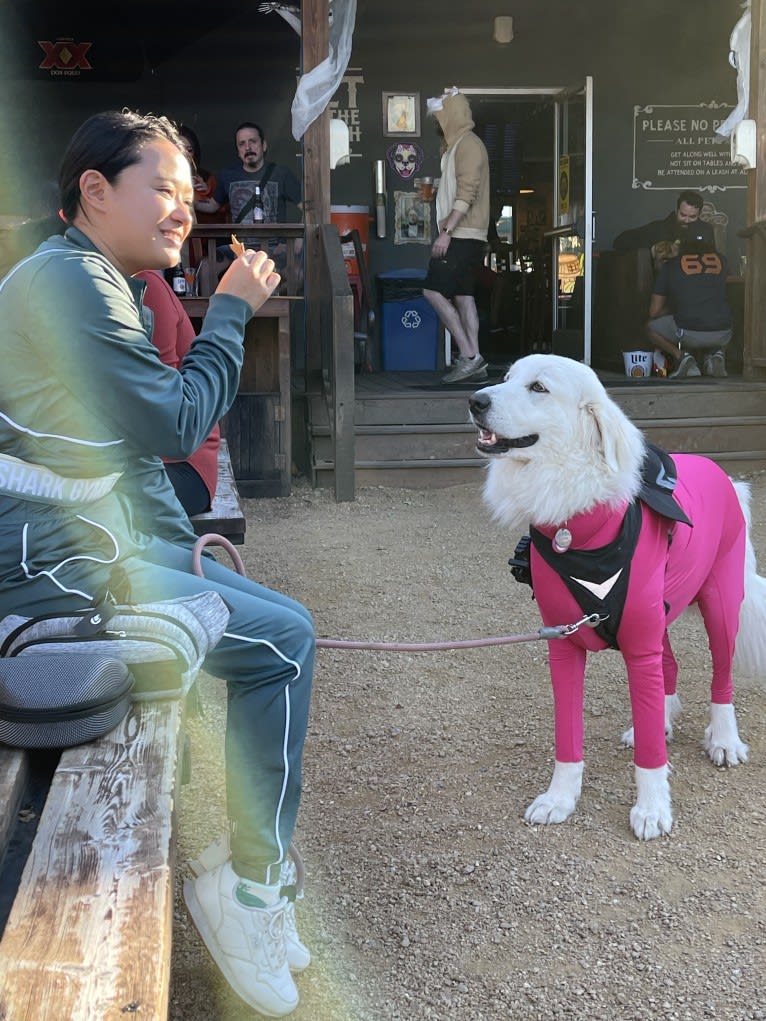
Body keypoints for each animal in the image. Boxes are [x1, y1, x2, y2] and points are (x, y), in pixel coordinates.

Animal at [467, 355, 766, 841]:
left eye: (538, 388)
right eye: (507, 378)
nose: (476, 400)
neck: (578, 526)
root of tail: (727, 478)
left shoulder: (640, 643)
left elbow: (651, 761)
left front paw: (652, 809)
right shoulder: (564, 646)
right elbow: (568, 738)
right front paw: (560, 799)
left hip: (721, 607)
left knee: (720, 679)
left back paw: (723, 740)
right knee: (669, 668)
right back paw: (658, 722)